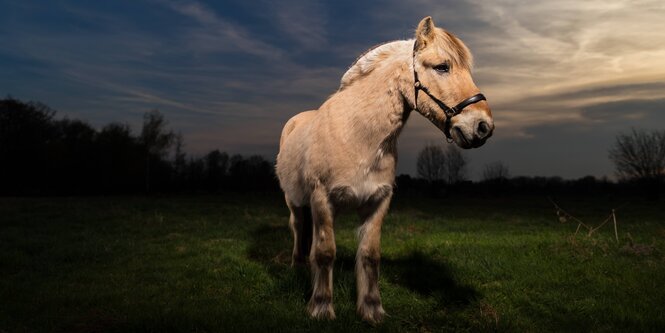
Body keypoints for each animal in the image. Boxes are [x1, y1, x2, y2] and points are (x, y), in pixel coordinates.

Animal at [274, 16, 492, 322]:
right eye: (442, 67)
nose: (483, 127)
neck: (358, 136)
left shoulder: (378, 201)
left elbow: (369, 255)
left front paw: (371, 309)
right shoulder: (321, 199)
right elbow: (326, 253)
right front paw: (321, 307)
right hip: (294, 200)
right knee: (298, 227)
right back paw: (298, 267)